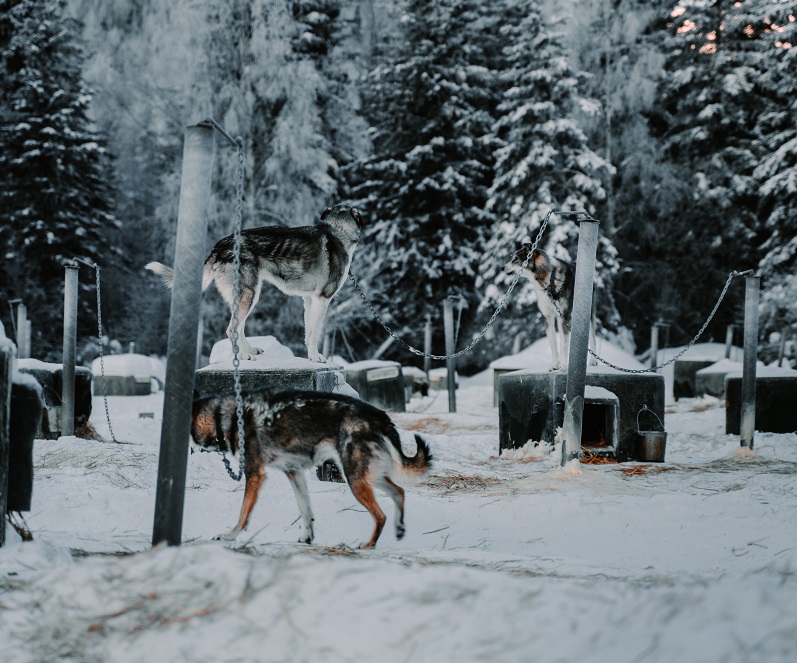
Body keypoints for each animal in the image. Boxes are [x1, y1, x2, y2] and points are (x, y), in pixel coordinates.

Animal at [146, 206, 360, 366]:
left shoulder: (309, 300)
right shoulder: (323, 300)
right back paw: (242, 356)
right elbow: (315, 333)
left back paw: (248, 350)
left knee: (239, 327)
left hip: (248, 295)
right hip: (250, 294)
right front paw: (316, 358)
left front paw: (310, 356)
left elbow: (308, 334)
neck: (338, 229)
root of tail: (219, 246)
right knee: (232, 329)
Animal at [190, 390, 432, 548]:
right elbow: (306, 511)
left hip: (355, 479)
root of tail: (380, 416)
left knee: (381, 515)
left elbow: (243, 515)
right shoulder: (294, 473)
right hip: (368, 476)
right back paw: (399, 528)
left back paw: (369, 545)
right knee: (399, 492)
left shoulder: (255, 475)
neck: (226, 417)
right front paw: (307, 537)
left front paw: (230, 535)